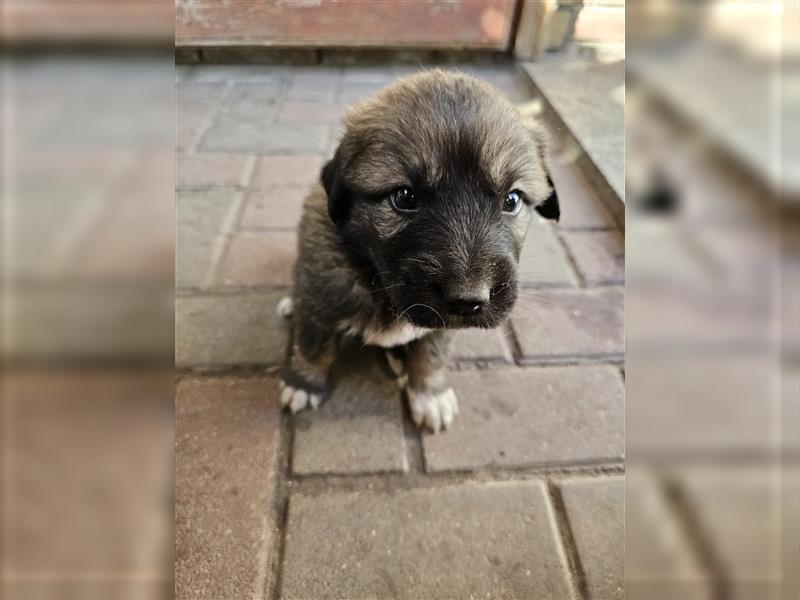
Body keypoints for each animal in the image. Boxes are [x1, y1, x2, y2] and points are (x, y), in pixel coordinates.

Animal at [278, 70, 560, 432]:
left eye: (511, 200)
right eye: (404, 196)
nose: (469, 300)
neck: (378, 282)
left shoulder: (442, 326)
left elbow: (432, 354)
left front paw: (429, 393)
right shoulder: (322, 299)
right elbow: (314, 345)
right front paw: (303, 383)